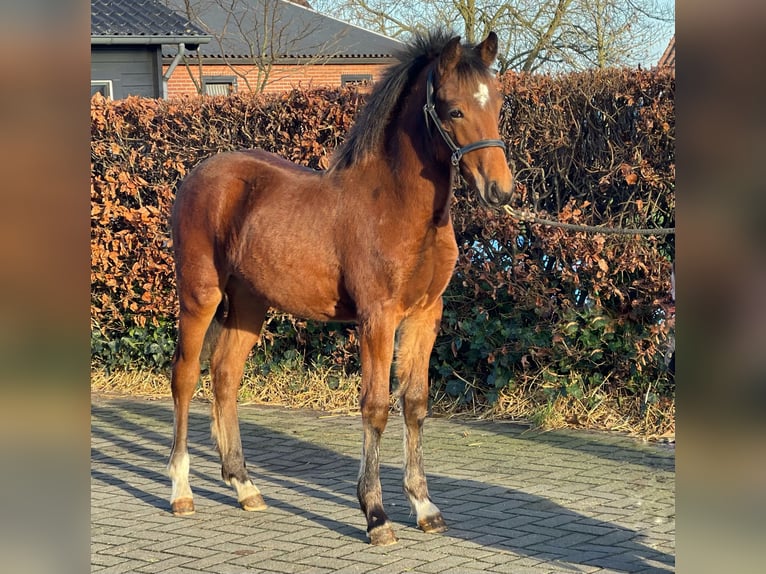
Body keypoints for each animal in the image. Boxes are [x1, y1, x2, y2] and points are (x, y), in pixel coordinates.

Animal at [168, 29, 516, 548]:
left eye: (496, 101)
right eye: (454, 110)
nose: (501, 190)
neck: (397, 207)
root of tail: (197, 176)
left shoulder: (425, 314)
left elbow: (415, 403)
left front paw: (424, 506)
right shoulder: (377, 317)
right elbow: (375, 407)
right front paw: (376, 515)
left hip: (249, 305)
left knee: (226, 376)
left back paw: (245, 486)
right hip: (200, 296)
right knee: (186, 376)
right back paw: (181, 491)